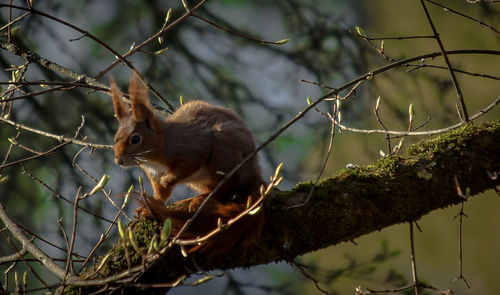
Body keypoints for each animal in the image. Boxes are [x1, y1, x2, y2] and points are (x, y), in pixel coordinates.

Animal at [108, 73, 266, 254]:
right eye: (116, 137)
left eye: (135, 139)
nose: (118, 160)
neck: (154, 157)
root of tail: (254, 171)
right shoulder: (153, 174)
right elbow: (161, 193)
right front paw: (152, 204)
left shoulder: (192, 148)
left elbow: (187, 165)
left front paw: (167, 180)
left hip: (223, 154)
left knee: (227, 190)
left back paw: (200, 200)